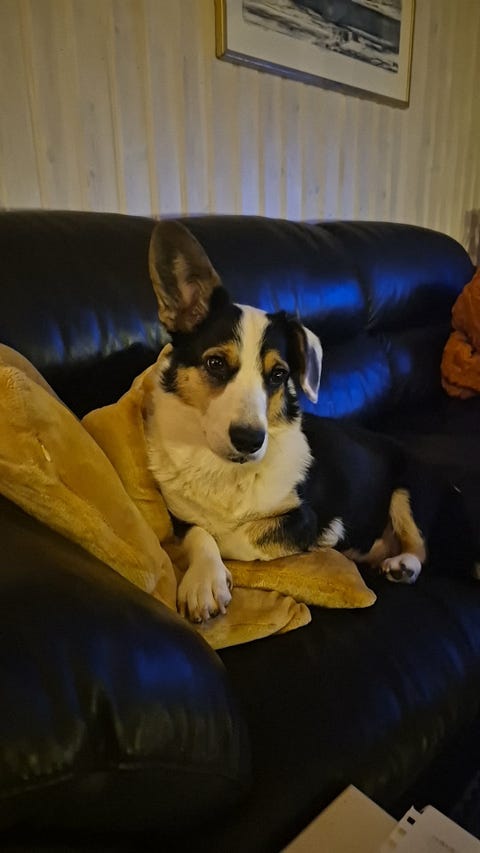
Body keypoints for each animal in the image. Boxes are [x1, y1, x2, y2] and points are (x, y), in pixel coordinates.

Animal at [143, 221, 452, 623]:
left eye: (278, 374)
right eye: (215, 363)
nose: (250, 440)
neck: (227, 470)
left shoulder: (303, 517)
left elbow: (239, 535)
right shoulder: (180, 516)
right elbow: (200, 531)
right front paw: (204, 581)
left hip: (408, 490)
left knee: (421, 548)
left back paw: (403, 565)